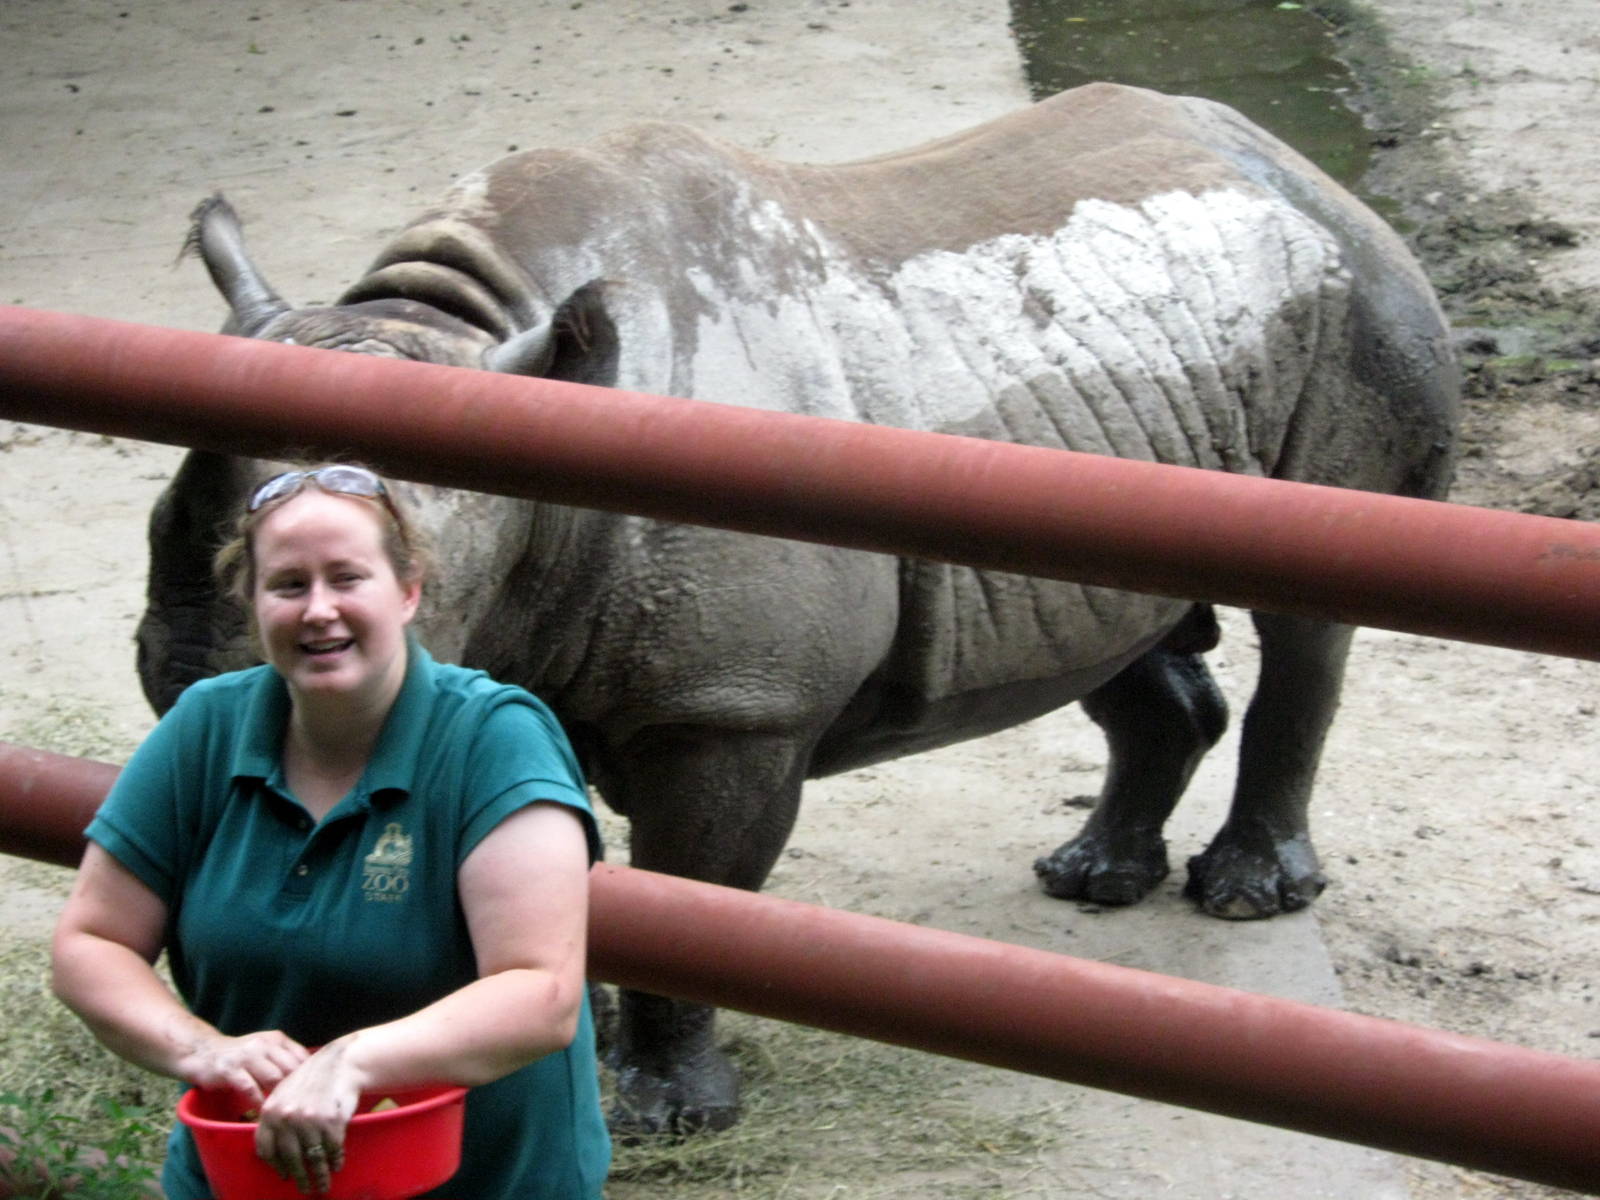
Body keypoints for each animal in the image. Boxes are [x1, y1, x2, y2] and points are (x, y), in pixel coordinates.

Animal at [137, 83, 1458, 1134]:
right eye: (167, 526)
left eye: (393, 585)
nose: (197, 673)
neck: (457, 333)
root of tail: (1300, 170)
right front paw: (571, 1051)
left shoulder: (733, 708)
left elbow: (692, 894)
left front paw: (667, 1114)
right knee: (1108, 626)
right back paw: (1088, 878)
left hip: (1358, 307)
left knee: (1307, 624)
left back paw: (1242, 896)